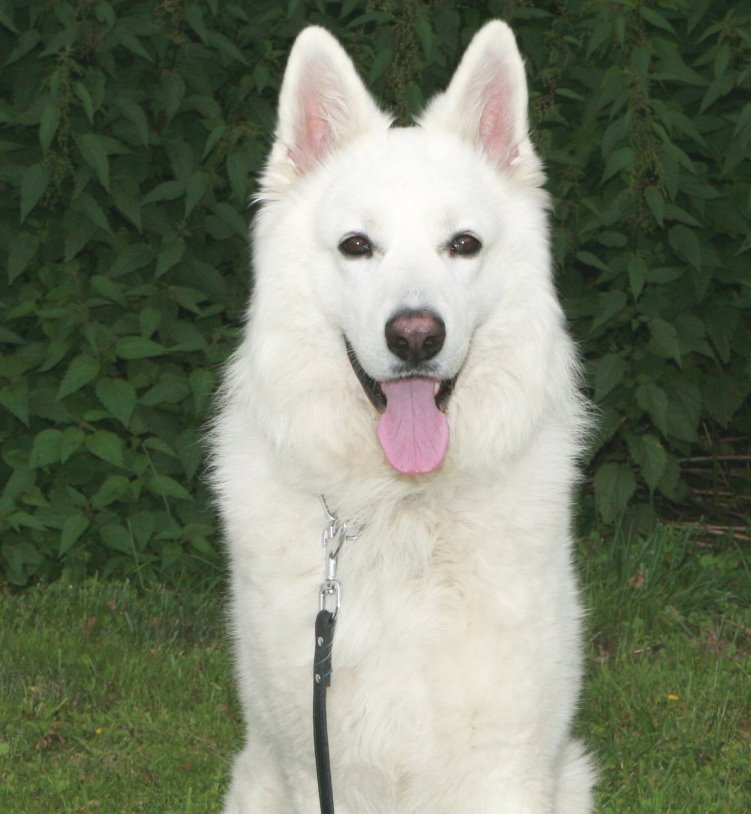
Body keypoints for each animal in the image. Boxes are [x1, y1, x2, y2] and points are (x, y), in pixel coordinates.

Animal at [211, 19, 594, 814]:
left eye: (463, 245)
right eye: (357, 246)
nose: (415, 336)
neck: (400, 507)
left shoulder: (506, 764)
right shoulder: (315, 765)